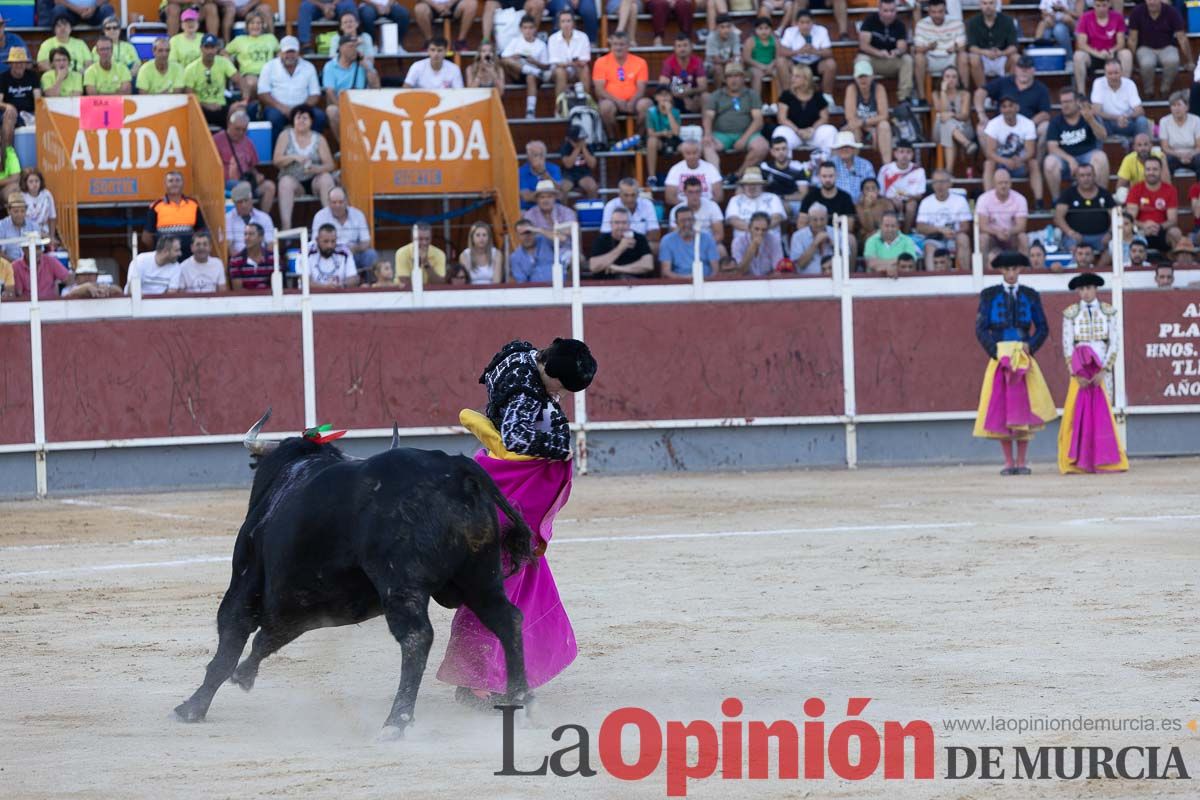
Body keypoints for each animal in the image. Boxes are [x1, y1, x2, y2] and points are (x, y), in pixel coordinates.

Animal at [174, 412, 535, 738]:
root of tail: (455, 469)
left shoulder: (246, 582)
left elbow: (230, 640)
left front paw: (192, 707)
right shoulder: (307, 600)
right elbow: (269, 636)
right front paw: (243, 676)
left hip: (400, 583)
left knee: (417, 637)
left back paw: (396, 721)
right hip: (481, 576)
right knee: (508, 620)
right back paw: (519, 700)